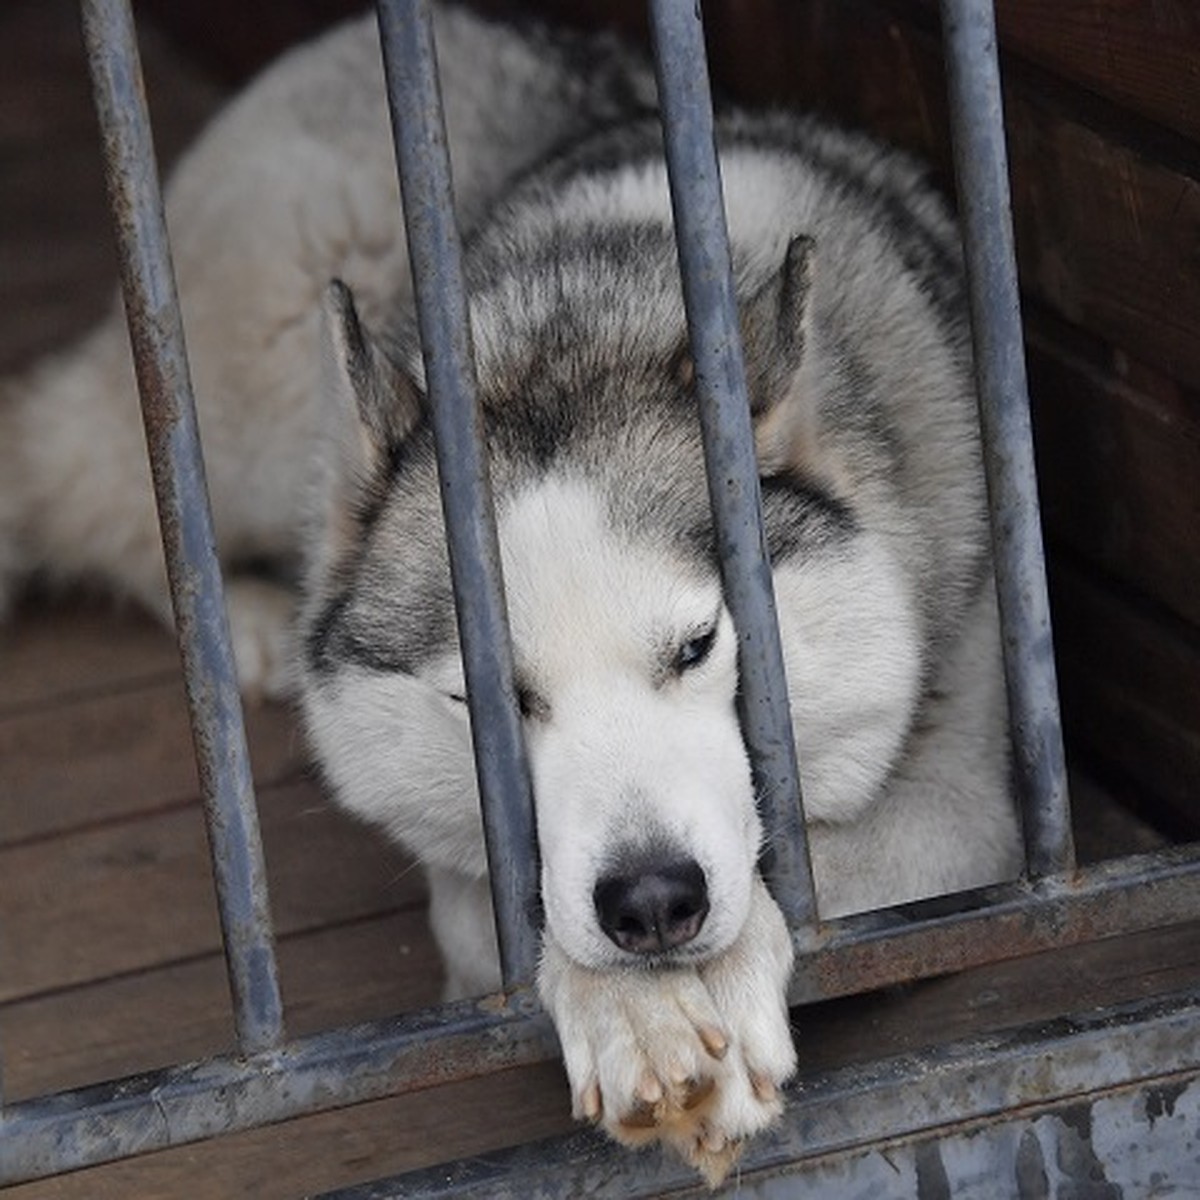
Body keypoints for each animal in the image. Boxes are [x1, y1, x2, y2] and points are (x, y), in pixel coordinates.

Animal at [0, 0, 1017, 1185]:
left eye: (698, 646)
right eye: (487, 701)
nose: (652, 904)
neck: (587, 315)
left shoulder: (967, 811)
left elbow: (813, 870)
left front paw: (705, 983)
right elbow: (515, 915)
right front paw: (638, 1014)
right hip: (260, 397)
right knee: (108, 464)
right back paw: (235, 622)